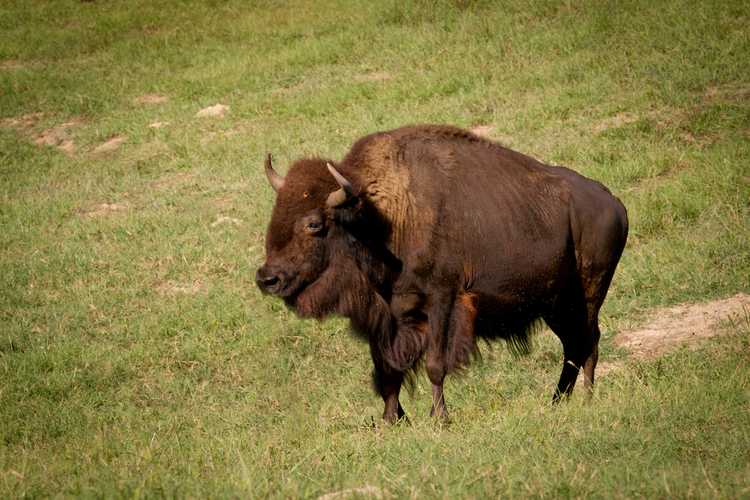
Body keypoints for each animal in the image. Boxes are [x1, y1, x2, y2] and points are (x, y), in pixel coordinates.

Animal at [258, 124, 628, 422]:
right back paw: (557, 402)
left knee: (588, 342)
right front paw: (391, 420)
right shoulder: (384, 315)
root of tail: (613, 202)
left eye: (314, 224)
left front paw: (439, 418)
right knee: (574, 346)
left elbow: (435, 365)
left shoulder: (441, 302)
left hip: (587, 295)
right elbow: (386, 371)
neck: (380, 218)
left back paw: (587, 400)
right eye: (275, 214)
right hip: (555, 304)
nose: (266, 278)